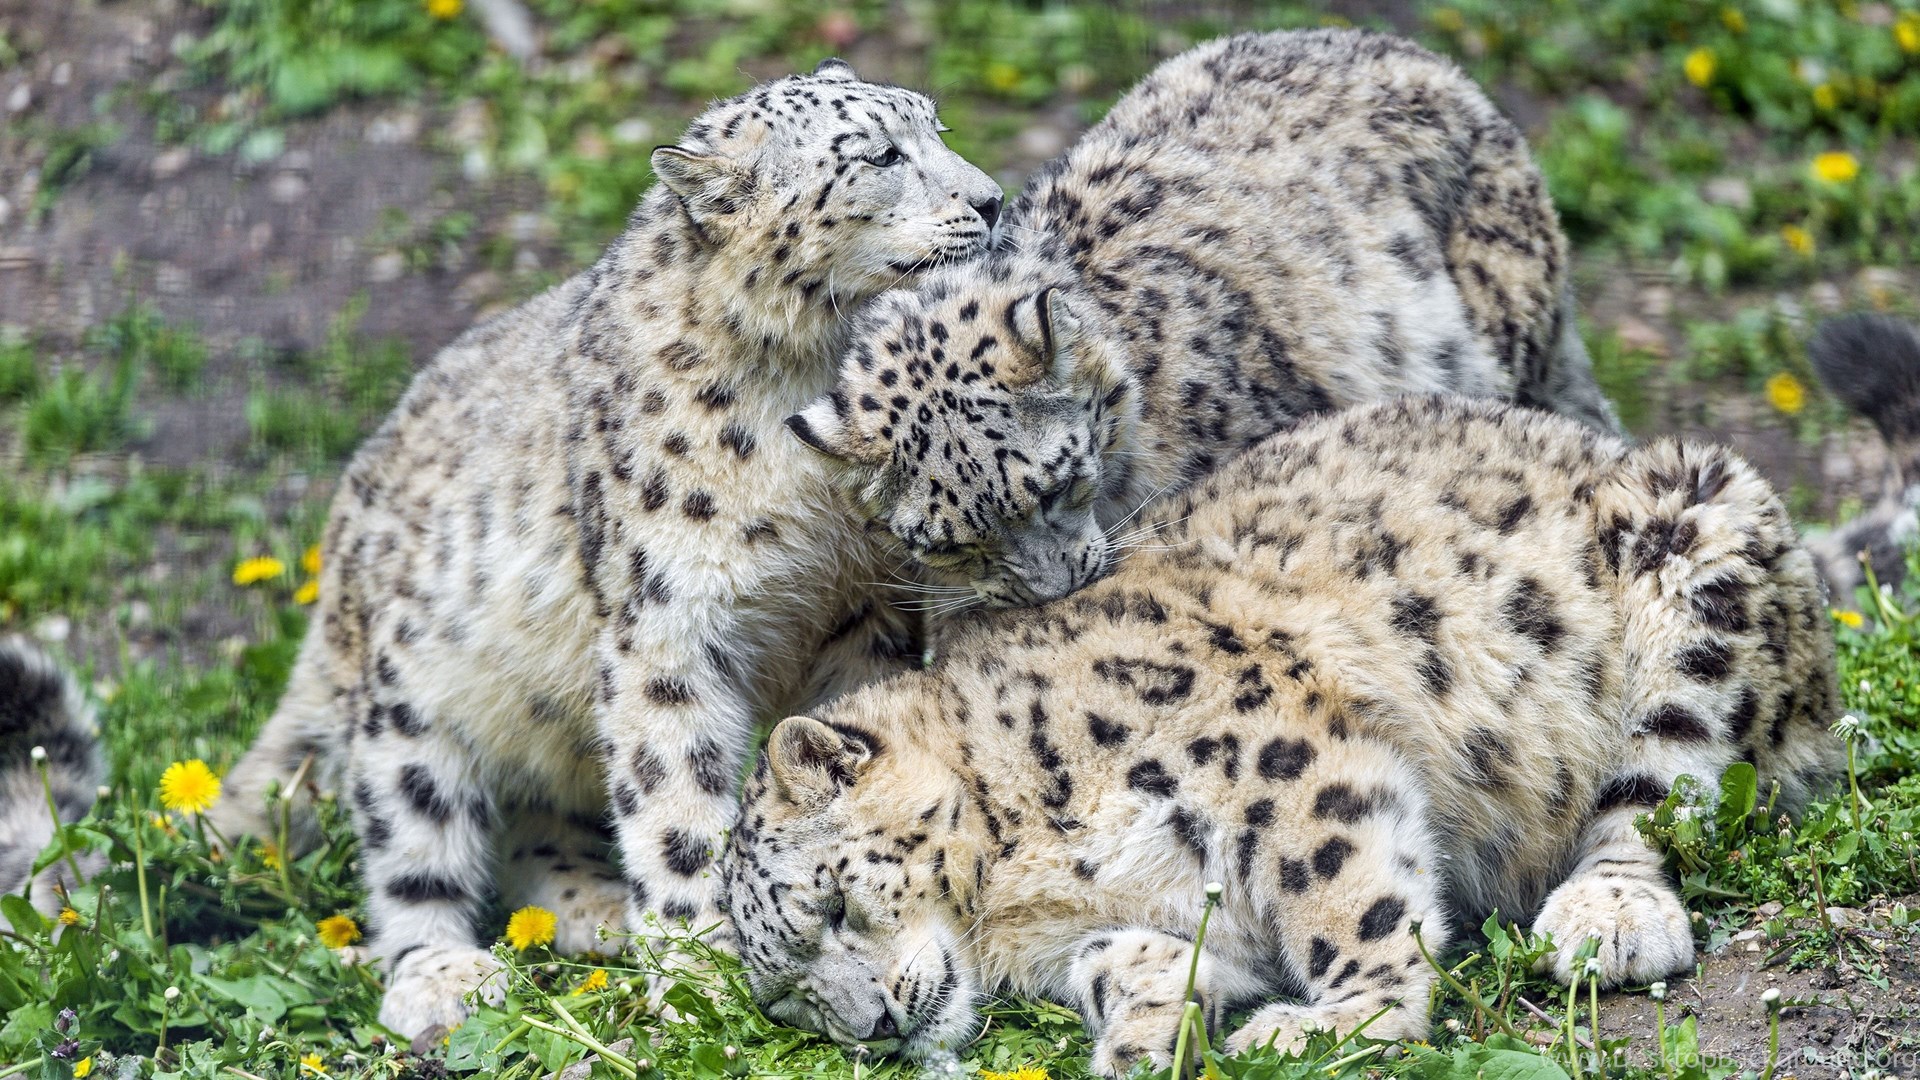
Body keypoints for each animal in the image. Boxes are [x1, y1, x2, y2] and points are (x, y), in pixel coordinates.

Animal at [203, 58, 1005, 1041]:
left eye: (937, 126)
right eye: (879, 154)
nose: (992, 199)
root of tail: (338, 564)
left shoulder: (862, 603)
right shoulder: (669, 625)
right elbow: (675, 798)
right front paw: (701, 969)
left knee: (536, 822)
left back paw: (594, 914)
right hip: (412, 710)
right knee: (411, 852)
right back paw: (447, 974)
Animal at [723, 395, 1840, 1074]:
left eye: (831, 905)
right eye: (787, 999)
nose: (872, 1025)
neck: (1015, 898)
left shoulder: (1281, 761)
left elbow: (1348, 894)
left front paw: (1335, 1022)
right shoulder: (1121, 925)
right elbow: (1129, 963)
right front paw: (1140, 1041)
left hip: (1698, 550)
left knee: (1663, 793)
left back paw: (1607, 919)